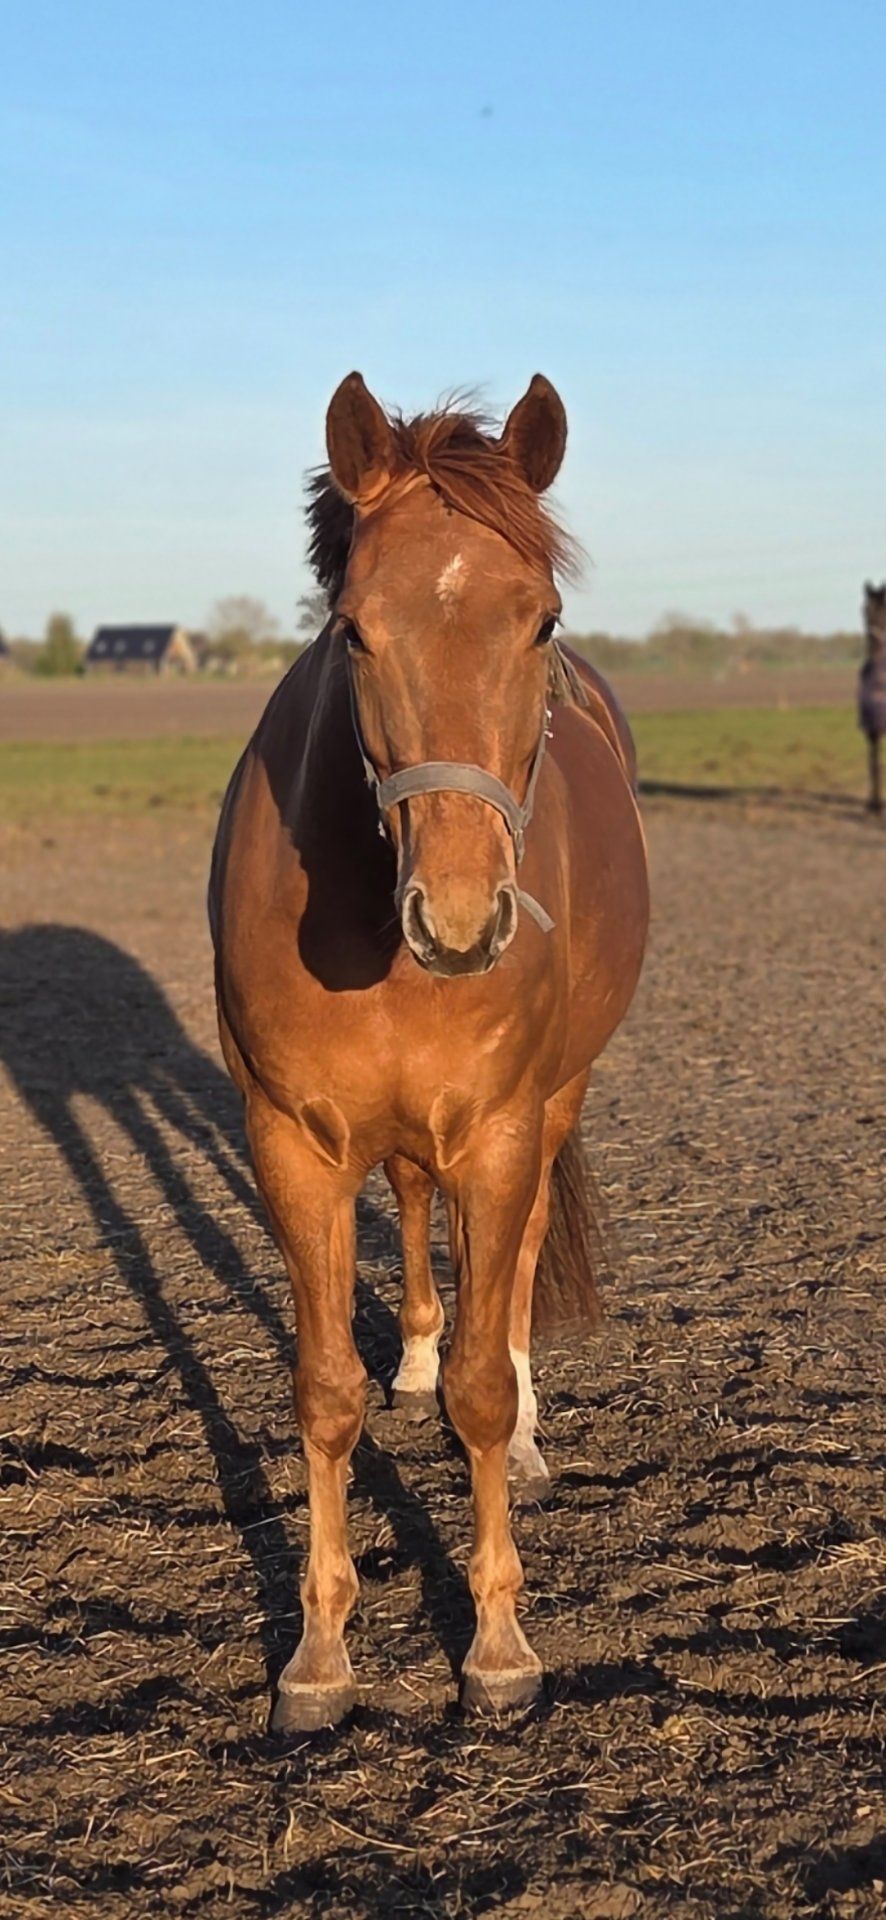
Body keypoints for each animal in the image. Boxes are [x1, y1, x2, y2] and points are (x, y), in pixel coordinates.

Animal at [209, 373, 650, 1730]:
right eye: (352, 630)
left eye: (541, 618)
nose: (459, 921)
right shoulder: (290, 1144)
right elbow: (323, 1393)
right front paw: (318, 1654)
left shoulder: (501, 1131)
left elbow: (481, 1392)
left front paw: (499, 1647)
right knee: (410, 1210)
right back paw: (410, 1352)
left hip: (551, 1106)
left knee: (510, 1278)